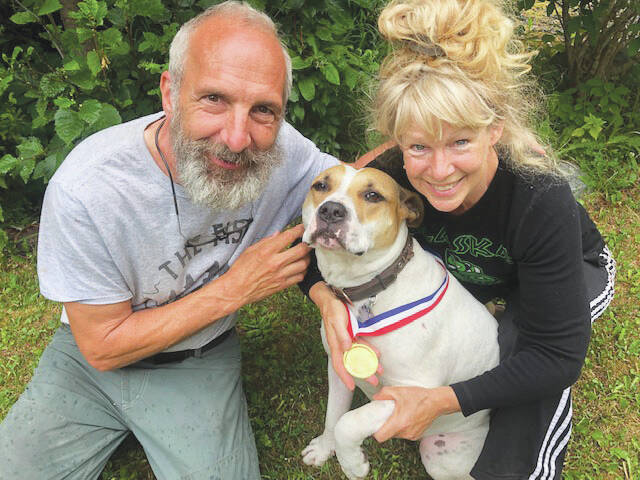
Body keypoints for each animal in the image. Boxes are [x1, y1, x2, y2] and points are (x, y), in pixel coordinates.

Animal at [300, 164, 500, 480]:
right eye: (321, 186)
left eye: (373, 195)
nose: (331, 210)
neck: (370, 292)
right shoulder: (338, 364)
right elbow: (334, 414)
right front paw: (323, 448)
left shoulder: (413, 393)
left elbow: (349, 422)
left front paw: (352, 463)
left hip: (441, 457)